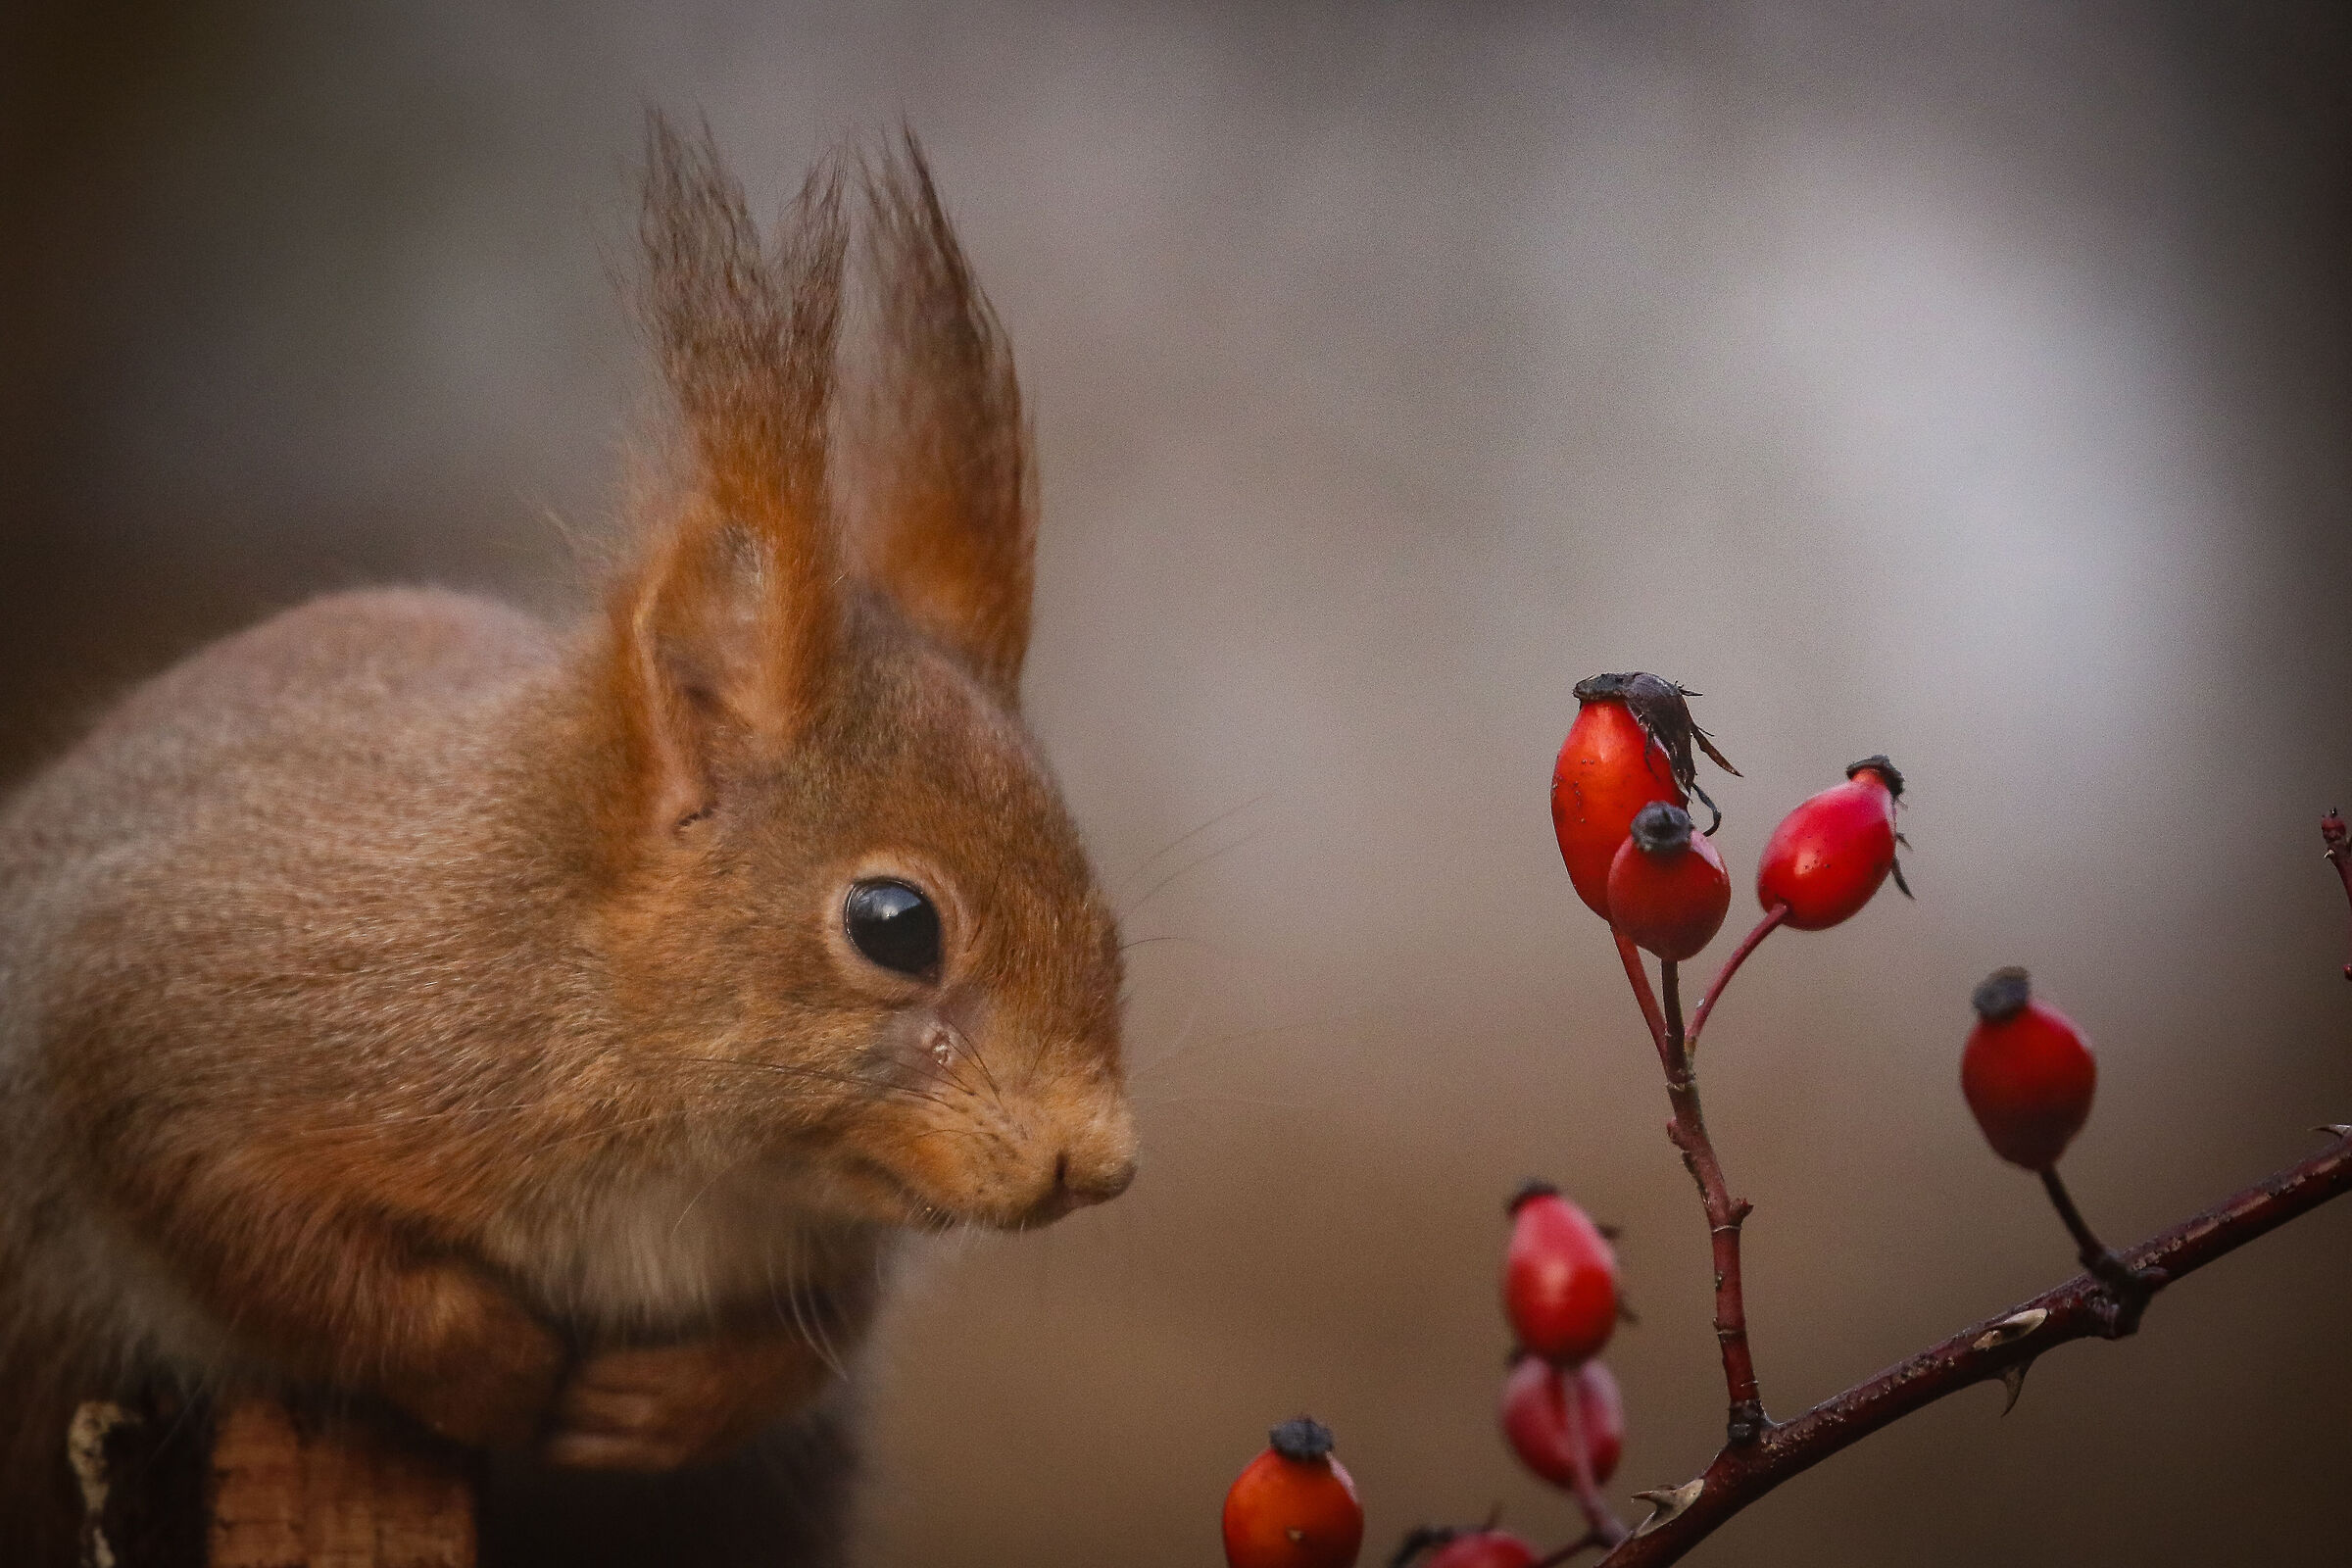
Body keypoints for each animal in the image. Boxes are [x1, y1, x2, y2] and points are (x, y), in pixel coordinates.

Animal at [0, 118, 1137, 1565]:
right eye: (896, 924)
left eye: (1099, 898)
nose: (1097, 1160)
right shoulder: (190, 1020)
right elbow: (232, 1220)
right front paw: (491, 1363)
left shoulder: (820, 1239)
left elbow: (811, 1340)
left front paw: (665, 1402)